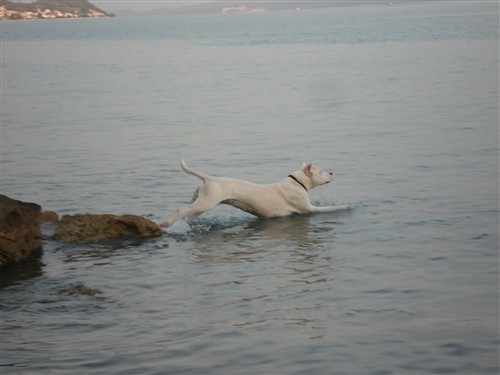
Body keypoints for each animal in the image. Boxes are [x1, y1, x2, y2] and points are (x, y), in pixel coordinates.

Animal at [161, 159, 352, 229]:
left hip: (200, 204)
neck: (297, 182)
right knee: (180, 210)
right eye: (321, 171)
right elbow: (328, 208)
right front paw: (346, 206)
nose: (332, 173)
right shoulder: (309, 210)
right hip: (205, 203)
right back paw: (165, 223)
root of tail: (209, 178)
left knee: (187, 213)